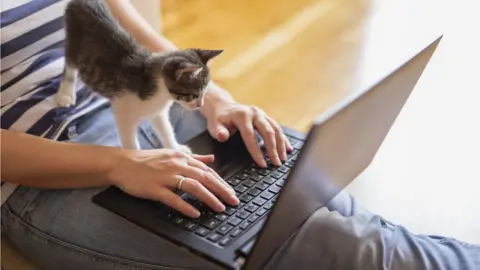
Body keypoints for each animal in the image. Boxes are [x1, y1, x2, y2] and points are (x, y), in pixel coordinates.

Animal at [57, 0, 222, 153]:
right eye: (194, 94)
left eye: (204, 92)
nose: (200, 105)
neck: (160, 92)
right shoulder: (122, 110)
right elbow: (130, 143)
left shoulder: (157, 113)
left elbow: (165, 130)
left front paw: (176, 148)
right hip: (74, 43)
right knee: (69, 66)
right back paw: (65, 94)